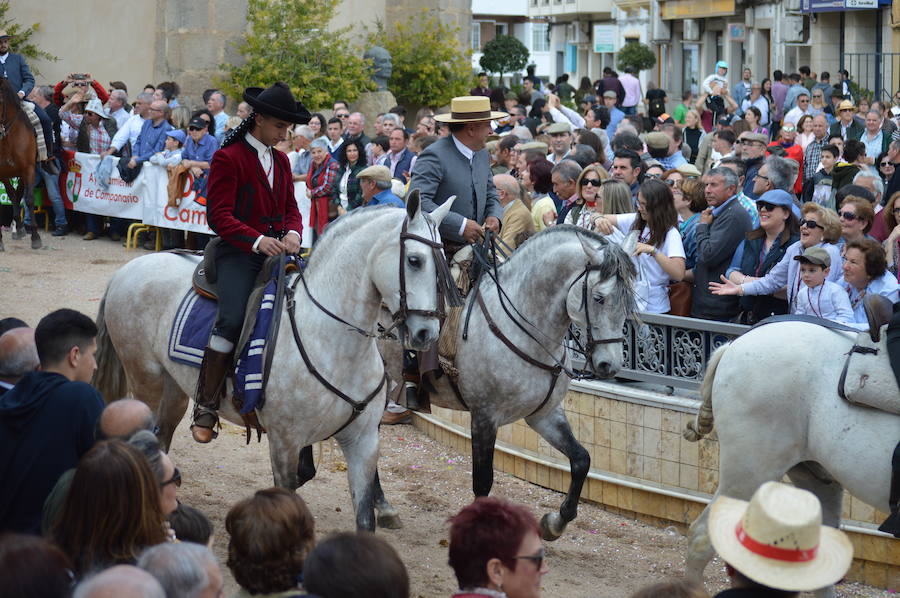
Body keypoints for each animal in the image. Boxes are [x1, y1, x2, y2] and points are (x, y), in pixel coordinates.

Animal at [95, 198, 458, 536]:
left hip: (174, 390)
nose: (427, 333)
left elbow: (363, 519)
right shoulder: (285, 442)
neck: (332, 341)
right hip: (146, 381)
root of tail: (129, 269)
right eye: (415, 260)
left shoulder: (363, 442)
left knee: (163, 438)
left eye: (443, 264)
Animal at [372, 226, 640, 544]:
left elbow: (581, 460)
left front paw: (554, 523)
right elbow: (483, 480)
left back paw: (382, 507)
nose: (610, 365)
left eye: (629, 300)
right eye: (599, 298)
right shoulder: (484, 416)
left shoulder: (544, 415)